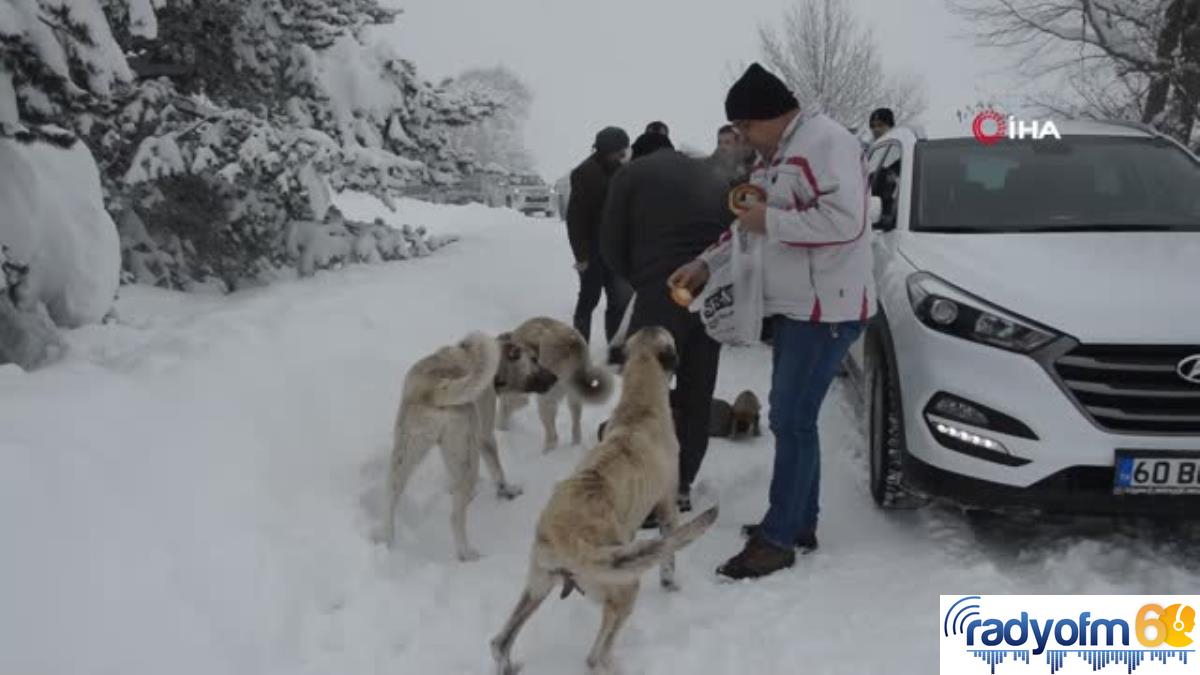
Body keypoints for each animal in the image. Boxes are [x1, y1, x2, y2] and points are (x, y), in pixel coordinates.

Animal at [381, 329, 554, 557]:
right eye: (534, 359)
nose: (555, 378)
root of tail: (436, 388)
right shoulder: (484, 435)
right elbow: (498, 471)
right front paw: (506, 491)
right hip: (466, 461)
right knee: (455, 517)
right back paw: (466, 553)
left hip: (404, 456)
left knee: (390, 500)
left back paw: (388, 542)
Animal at [494, 314, 614, 449]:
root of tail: (573, 344)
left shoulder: (516, 394)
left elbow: (504, 411)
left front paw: (500, 429)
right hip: (574, 398)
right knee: (576, 429)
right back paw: (574, 446)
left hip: (546, 400)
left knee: (553, 437)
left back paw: (545, 453)